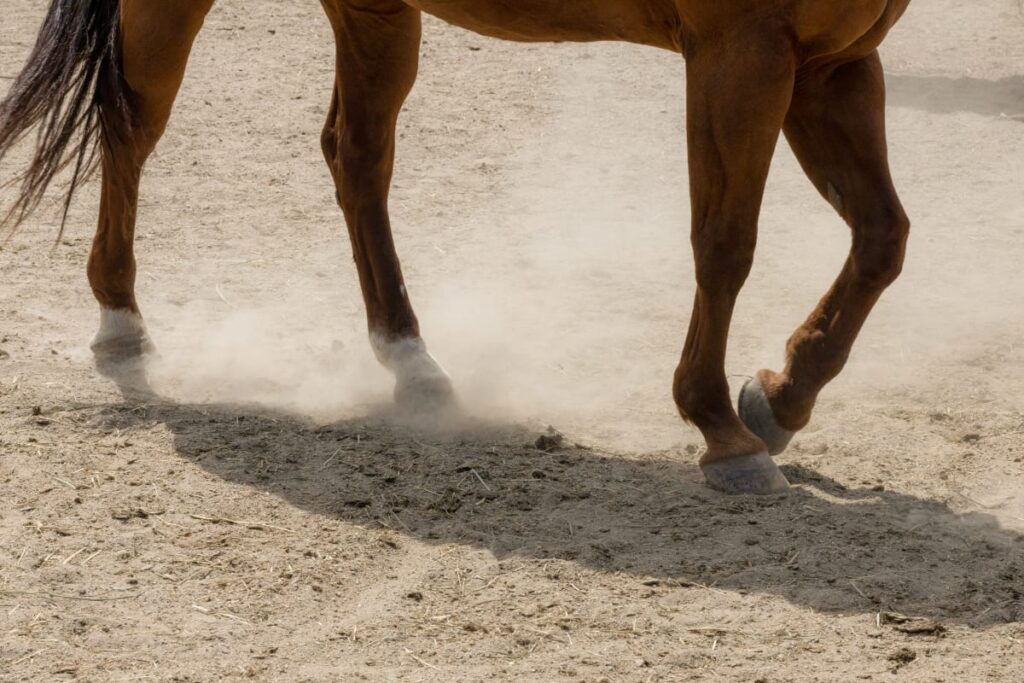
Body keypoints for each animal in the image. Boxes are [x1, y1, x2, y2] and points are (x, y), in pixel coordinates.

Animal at [0, 0, 913, 495]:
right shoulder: (742, 58)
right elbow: (724, 245)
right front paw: (722, 426)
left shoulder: (832, 65)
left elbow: (882, 239)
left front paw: (783, 395)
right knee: (130, 127)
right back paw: (120, 319)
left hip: (376, 15)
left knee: (357, 159)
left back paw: (409, 357)